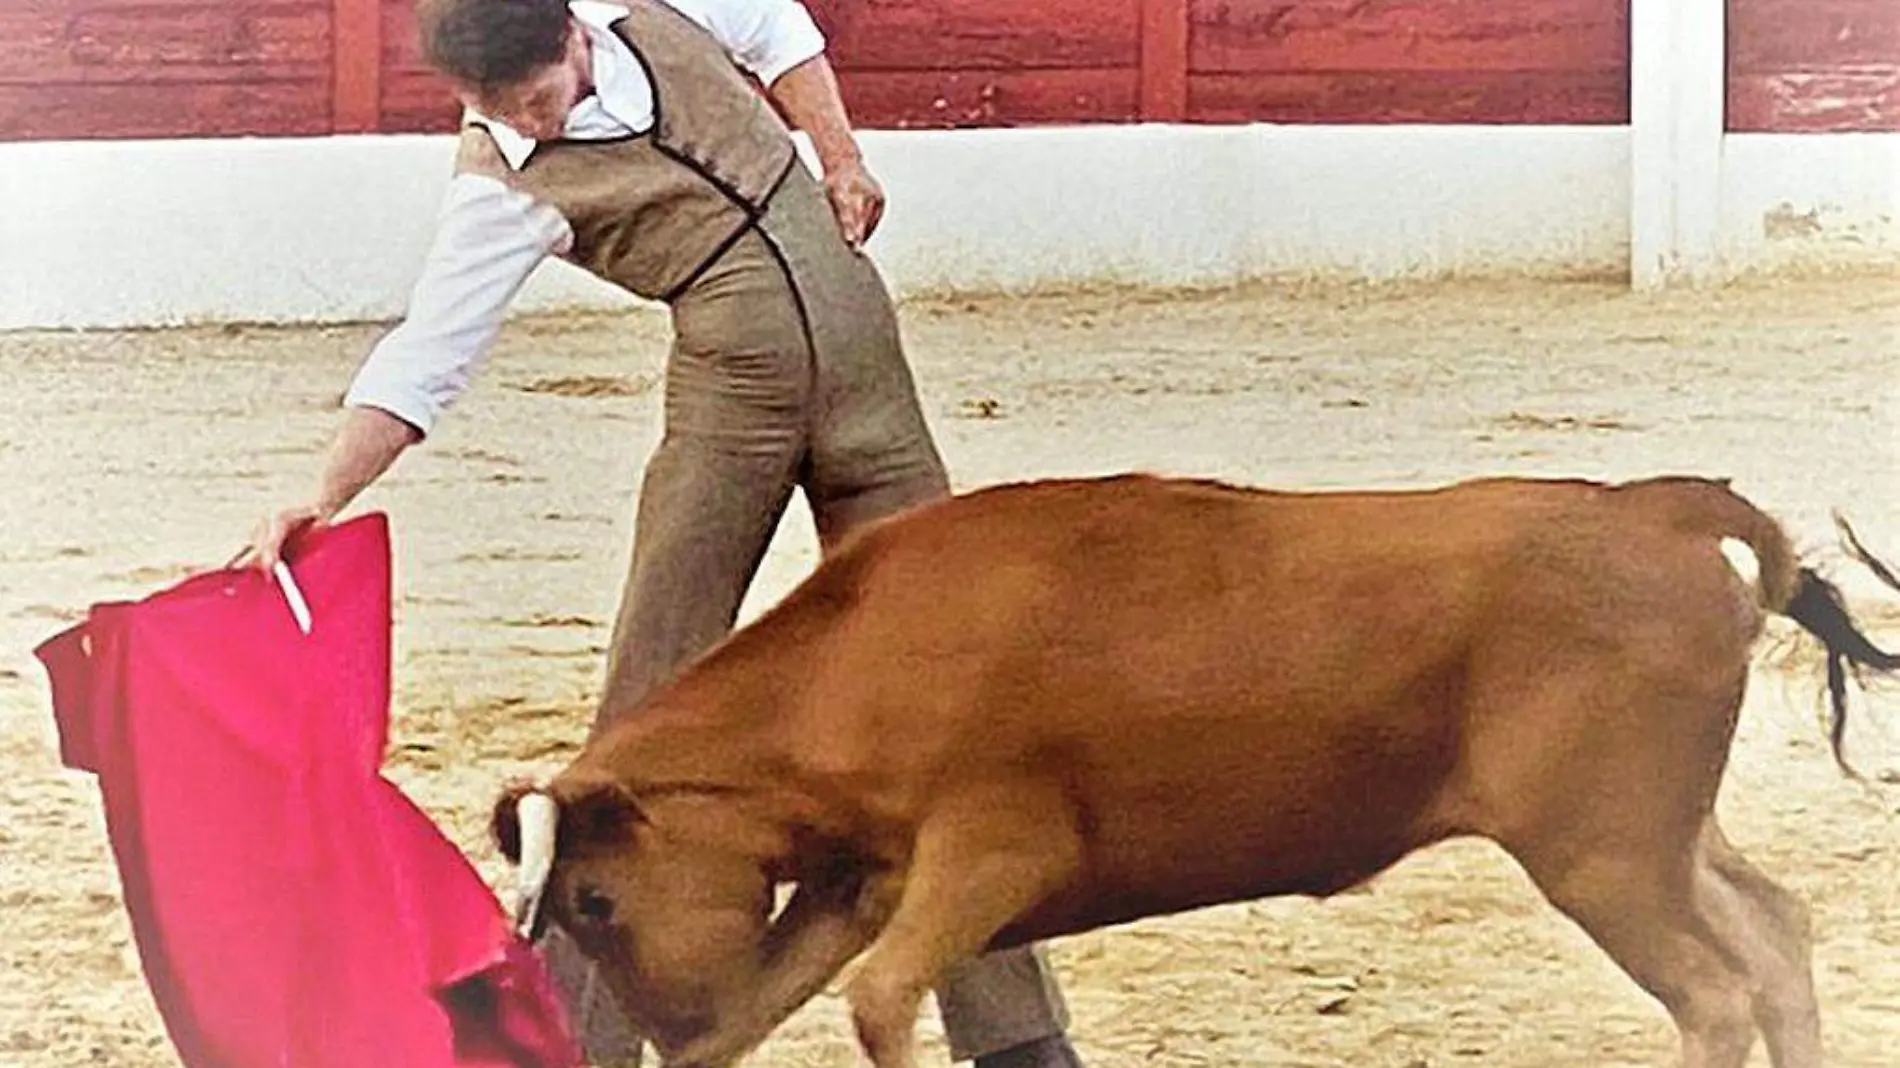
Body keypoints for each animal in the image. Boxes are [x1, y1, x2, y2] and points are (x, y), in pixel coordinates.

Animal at [494, 473, 1900, 1064]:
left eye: (594, 900)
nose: (665, 1020)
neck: (863, 652)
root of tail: (1651, 509)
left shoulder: (990, 854)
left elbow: (884, 1000)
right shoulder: (858, 884)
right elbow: (785, 1008)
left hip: (1600, 858)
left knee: (1713, 995)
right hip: (1654, 839)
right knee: (1774, 933)